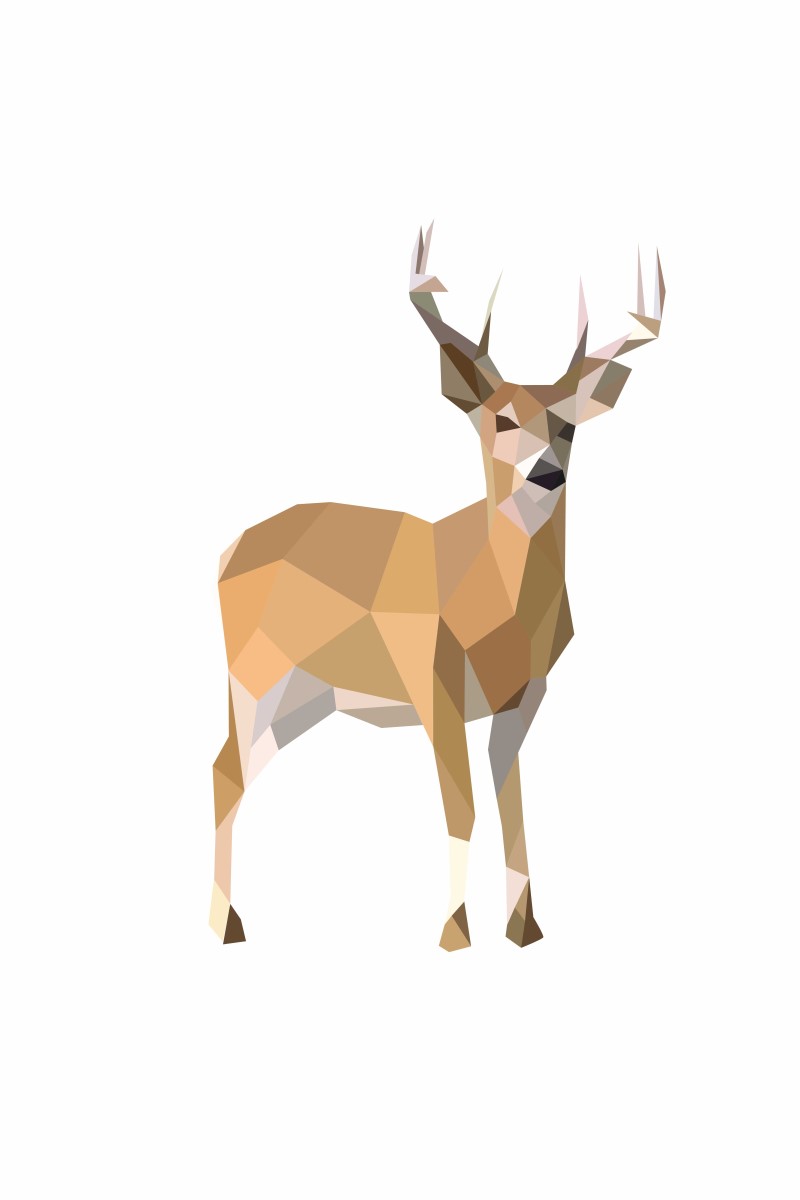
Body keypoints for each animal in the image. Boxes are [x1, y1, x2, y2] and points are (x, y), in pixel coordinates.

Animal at [210, 224, 665, 949]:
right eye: (500, 420)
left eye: (567, 426)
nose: (546, 474)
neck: (495, 607)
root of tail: (229, 552)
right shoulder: (433, 683)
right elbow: (463, 808)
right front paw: (455, 931)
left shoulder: (522, 697)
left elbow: (513, 808)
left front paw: (525, 928)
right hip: (253, 677)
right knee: (224, 771)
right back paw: (227, 925)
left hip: (304, 699)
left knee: (242, 770)